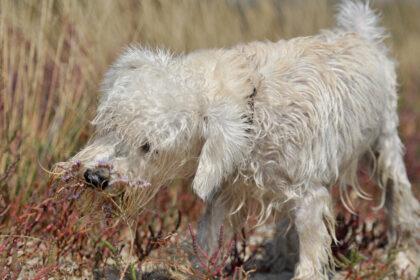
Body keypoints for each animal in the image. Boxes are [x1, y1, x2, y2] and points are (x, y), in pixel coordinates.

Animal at [70, 1, 418, 278]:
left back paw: (406, 252)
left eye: (148, 147)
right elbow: (207, 241)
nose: (95, 177)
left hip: (385, 144)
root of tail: (360, 34)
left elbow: (310, 249)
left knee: (400, 199)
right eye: (110, 126)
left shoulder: (308, 196)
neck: (251, 110)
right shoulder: (222, 190)